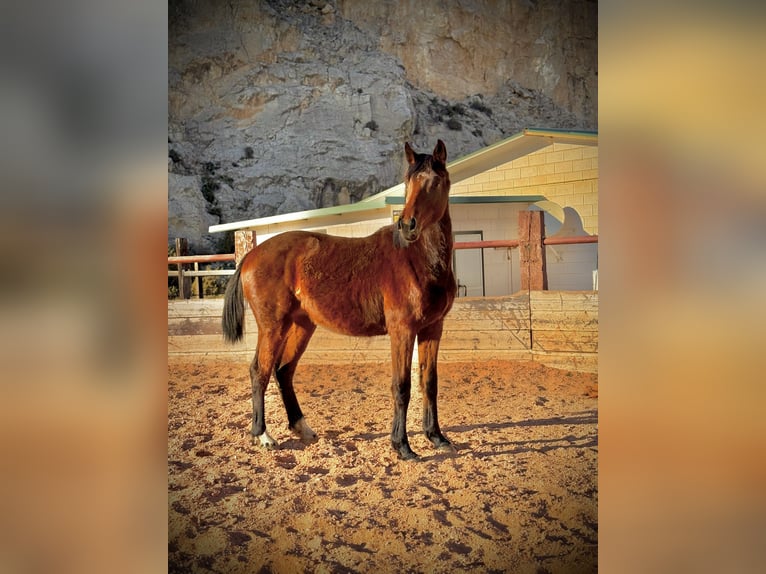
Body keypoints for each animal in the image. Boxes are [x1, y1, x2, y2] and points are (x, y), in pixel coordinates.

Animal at [222, 140, 457, 460]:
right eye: (408, 182)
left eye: (435, 181)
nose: (408, 225)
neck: (417, 259)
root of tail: (251, 255)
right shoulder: (403, 331)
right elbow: (402, 386)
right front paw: (402, 446)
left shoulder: (433, 328)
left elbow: (429, 383)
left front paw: (437, 437)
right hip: (273, 327)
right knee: (260, 370)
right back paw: (263, 436)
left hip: (302, 325)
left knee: (283, 371)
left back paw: (302, 428)